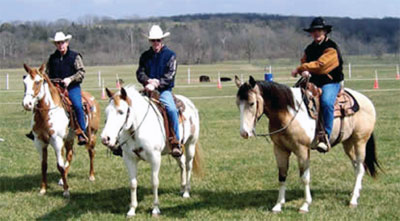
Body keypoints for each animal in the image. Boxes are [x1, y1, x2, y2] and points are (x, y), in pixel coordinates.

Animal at [21, 63, 100, 197]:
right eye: (25, 82)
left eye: (37, 82)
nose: (27, 104)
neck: (47, 112)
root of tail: (92, 99)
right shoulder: (39, 142)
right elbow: (44, 165)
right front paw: (43, 189)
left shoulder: (57, 141)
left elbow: (60, 166)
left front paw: (66, 191)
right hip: (69, 138)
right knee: (70, 155)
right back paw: (62, 180)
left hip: (92, 136)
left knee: (91, 153)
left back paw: (91, 176)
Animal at [99, 85, 202, 217]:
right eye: (106, 112)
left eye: (121, 112)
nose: (105, 138)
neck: (137, 130)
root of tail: (189, 103)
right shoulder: (129, 158)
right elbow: (133, 183)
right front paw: (132, 210)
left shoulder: (155, 158)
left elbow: (154, 182)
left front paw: (155, 209)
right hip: (175, 151)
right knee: (182, 165)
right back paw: (182, 188)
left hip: (190, 145)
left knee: (188, 166)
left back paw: (186, 192)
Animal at [236, 75, 380, 212]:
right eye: (238, 104)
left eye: (252, 103)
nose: (244, 133)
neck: (289, 113)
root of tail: (367, 101)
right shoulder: (280, 149)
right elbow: (282, 176)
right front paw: (278, 205)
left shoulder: (302, 150)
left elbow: (304, 178)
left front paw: (305, 205)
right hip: (348, 143)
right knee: (356, 166)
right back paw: (355, 192)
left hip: (360, 141)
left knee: (360, 167)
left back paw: (353, 199)